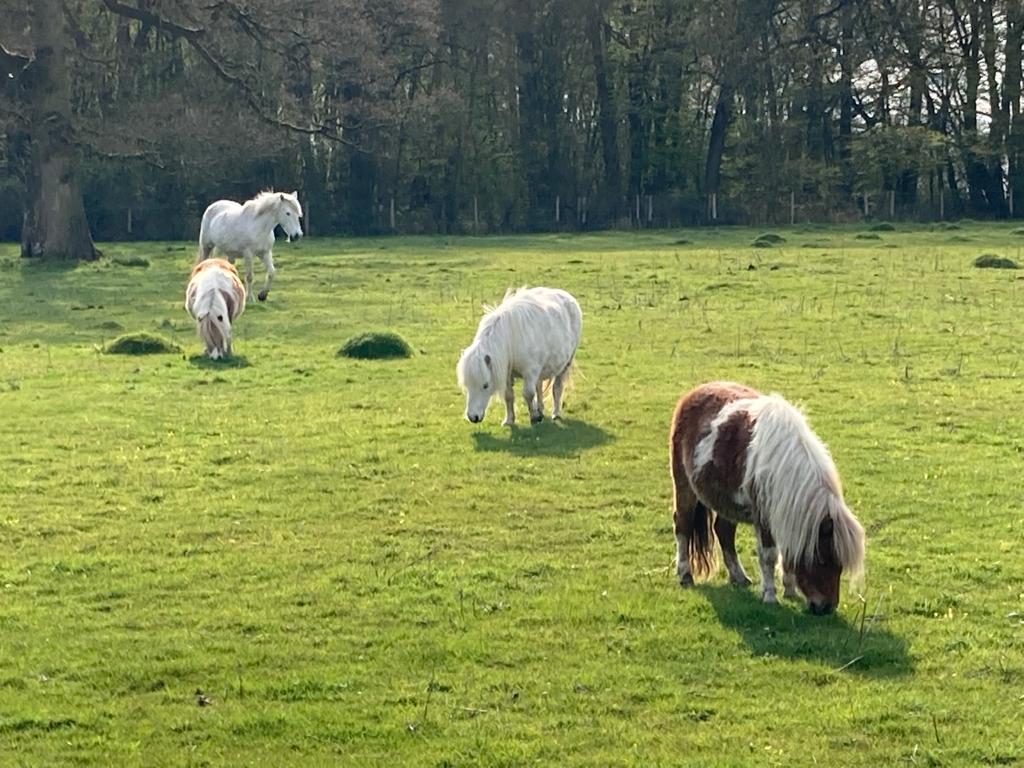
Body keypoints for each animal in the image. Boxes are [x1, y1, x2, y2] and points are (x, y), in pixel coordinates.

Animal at [456, 286, 582, 426]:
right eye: (467, 385)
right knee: (539, 387)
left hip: (565, 364)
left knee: (557, 388)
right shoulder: (507, 374)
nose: (473, 417)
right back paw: (540, 410)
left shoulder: (530, 372)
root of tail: (566, 295)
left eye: (485, 385)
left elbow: (528, 394)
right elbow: (508, 396)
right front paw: (509, 419)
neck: (510, 340)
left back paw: (556, 413)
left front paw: (534, 417)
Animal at [669, 381, 865, 615]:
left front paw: (789, 590)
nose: (826, 608)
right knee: (683, 527)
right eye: (822, 560)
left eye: (840, 564)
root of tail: (693, 393)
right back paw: (685, 575)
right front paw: (770, 596)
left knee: (723, 532)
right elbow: (769, 555)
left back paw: (739, 577)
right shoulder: (764, 517)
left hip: (727, 502)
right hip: (684, 488)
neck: (784, 466)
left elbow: (787, 554)